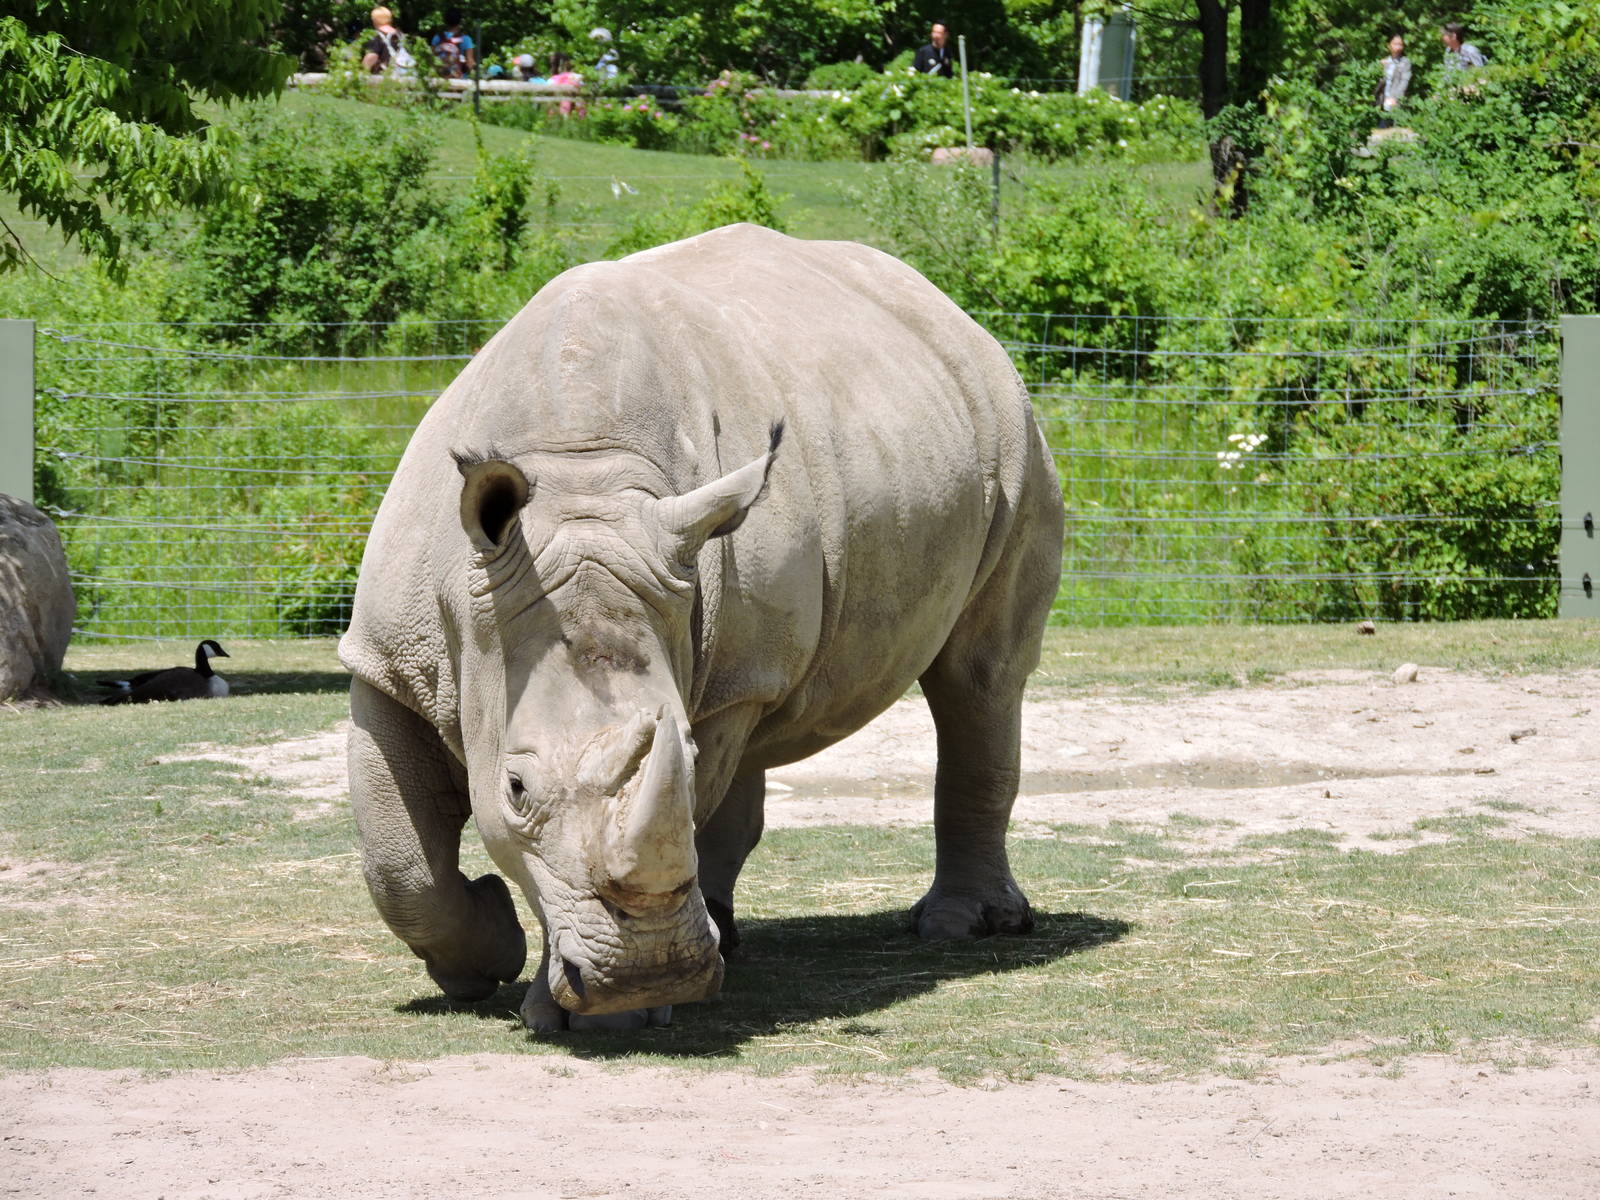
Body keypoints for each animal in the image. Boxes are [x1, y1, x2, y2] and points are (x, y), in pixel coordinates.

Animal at [339, 224, 1064, 1031]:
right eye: (518, 787)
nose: (646, 974)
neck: (579, 484)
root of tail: (952, 313)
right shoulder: (388, 659)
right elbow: (399, 862)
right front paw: (482, 959)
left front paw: (605, 1017)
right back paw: (726, 934)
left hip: (1012, 432)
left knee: (978, 677)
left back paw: (959, 928)